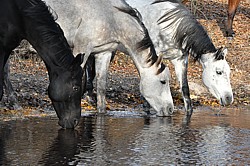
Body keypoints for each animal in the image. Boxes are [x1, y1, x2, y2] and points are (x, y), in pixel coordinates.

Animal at [85, 0, 233, 116]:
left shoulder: (180, 61)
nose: (229, 99)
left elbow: (185, 89)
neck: (171, 26)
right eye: (219, 72)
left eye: (228, 72)